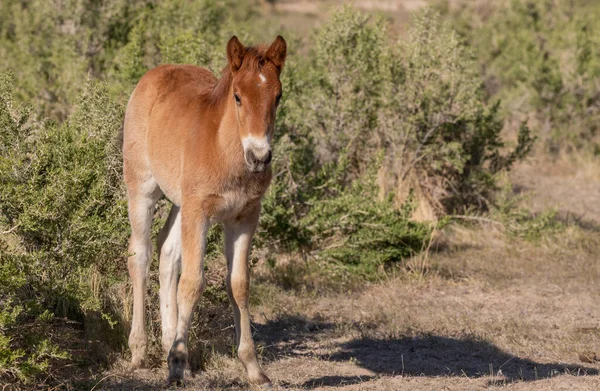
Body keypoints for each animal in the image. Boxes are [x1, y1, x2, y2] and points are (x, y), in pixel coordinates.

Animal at [122, 36, 286, 388]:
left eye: (278, 96)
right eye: (237, 96)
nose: (259, 157)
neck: (224, 151)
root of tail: (154, 73)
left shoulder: (244, 218)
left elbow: (239, 284)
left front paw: (253, 367)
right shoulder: (199, 212)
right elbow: (193, 283)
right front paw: (176, 364)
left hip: (181, 202)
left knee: (167, 252)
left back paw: (169, 343)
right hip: (143, 188)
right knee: (140, 254)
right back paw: (139, 349)